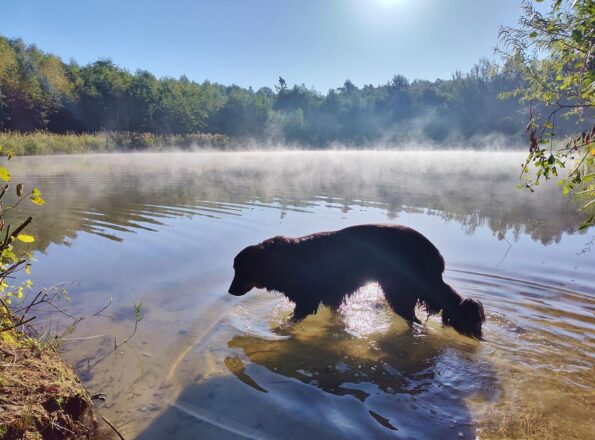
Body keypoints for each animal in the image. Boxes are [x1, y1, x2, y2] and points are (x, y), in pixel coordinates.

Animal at [230, 225, 486, 338]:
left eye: (239, 270)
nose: (231, 292)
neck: (285, 260)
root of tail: (434, 254)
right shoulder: (332, 297)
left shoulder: (306, 301)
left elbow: (291, 321)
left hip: (398, 292)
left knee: (414, 319)